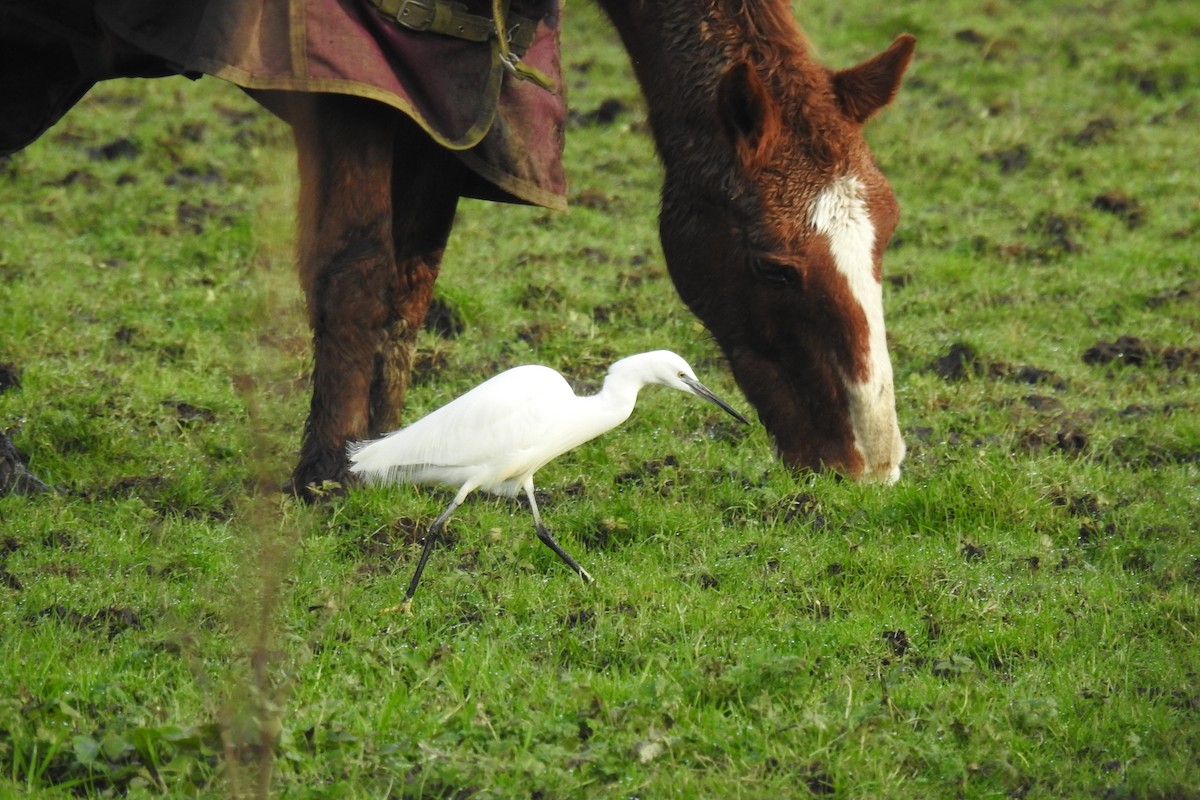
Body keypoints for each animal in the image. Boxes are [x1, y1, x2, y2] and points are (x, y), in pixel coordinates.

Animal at [4, 1, 912, 501]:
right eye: (772, 265)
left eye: (890, 233)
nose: (870, 461)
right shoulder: (353, 90)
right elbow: (356, 268)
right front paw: (327, 471)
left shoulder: (446, 109)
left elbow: (409, 283)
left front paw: (391, 447)